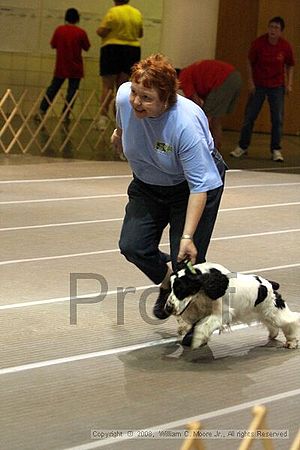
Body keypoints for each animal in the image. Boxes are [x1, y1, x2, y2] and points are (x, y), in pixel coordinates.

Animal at [165, 262, 298, 350]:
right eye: (171, 288)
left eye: (180, 288)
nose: (168, 308)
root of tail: (270, 284)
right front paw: (184, 328)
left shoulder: (221, 314)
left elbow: (203, 326)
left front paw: (197, 340)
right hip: (263, 311)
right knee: (272, 324)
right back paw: (273, 335)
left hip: (273, 309)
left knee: (292, 320)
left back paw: (292, 342)